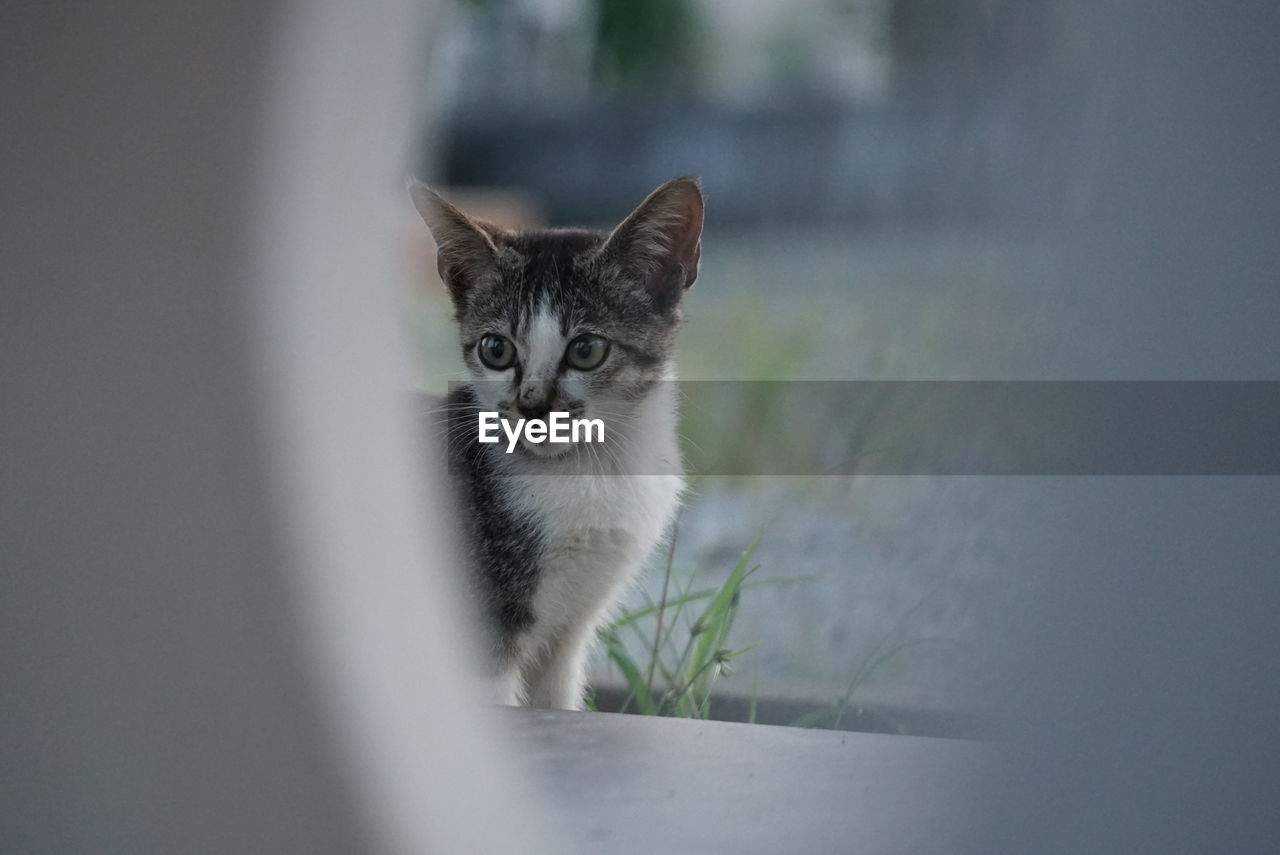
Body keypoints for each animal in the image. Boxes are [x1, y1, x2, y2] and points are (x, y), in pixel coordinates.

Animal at [409, 176, 706, 711]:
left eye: (586, 350)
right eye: (496, 349)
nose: (531, 407)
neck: (591, 471)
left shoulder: (569, 634)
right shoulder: (481, 632)